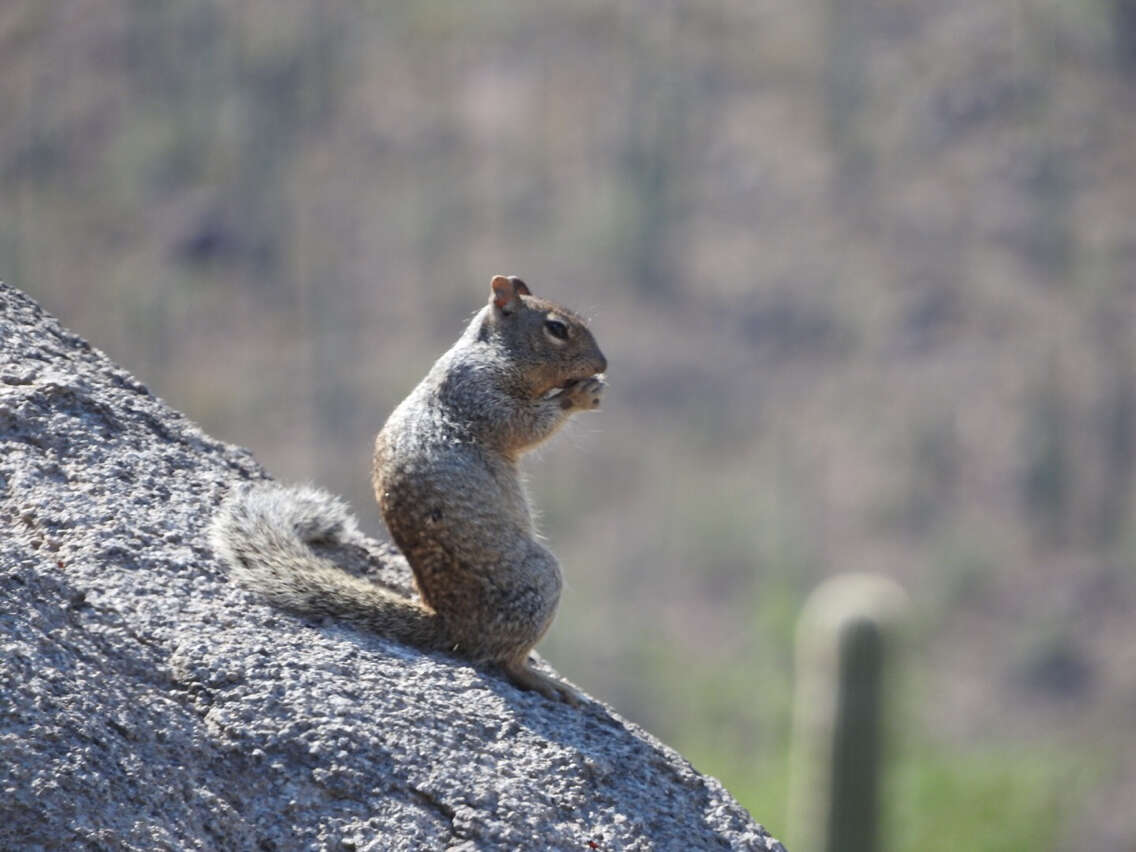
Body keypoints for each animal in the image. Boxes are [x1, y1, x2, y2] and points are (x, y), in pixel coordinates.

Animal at [210, 277, 608, 704]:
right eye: (557, 328)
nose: (603, 365)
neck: (490, 351)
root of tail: (450, 626)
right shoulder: (480, 394)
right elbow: (525, 425)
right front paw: (581, 394)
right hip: (538, 579)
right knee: (503, 660)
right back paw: (544, 681)